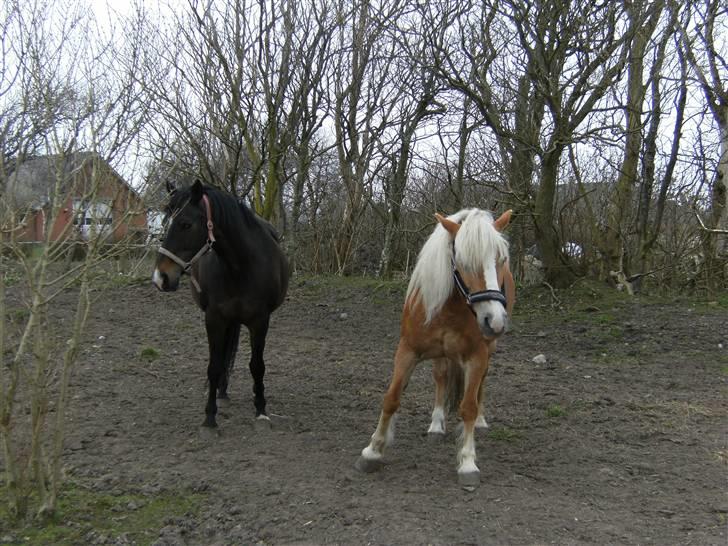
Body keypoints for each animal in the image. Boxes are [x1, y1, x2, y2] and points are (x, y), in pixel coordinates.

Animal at [152, 181, 288, 432]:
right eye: (165, 221)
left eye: (186, 224)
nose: (160, 278)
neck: (240, 266)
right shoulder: (214, 319)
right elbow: (214, 366)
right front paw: (209, 416)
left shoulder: (260, 321)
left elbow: (257, 365)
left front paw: (261, 409)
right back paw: (222, 392)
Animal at [356, 207, 516, 484]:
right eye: (462, 261)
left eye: (501, 259)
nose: (494, 320)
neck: (451, 309)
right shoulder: (407, 350)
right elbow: (391, 398)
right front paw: (373, 451)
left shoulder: (477, 355)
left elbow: (469, 407)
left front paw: (468, 463)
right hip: (442, 354)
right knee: (441, 377)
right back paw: (436, 424)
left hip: (489, 349)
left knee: (480, 384)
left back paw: (480, 421)